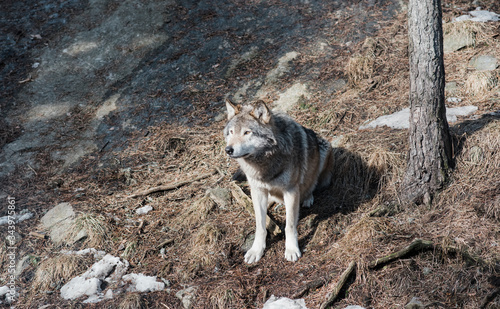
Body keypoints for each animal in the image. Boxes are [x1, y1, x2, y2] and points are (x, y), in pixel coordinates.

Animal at [223, 98, 332, 262]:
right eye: (231, 132)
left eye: (247, 132)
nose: (228, 150)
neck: (264, 164)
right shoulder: (258, 190)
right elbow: (260, 226)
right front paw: (256, 250)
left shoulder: (291, 191)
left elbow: (290, 225)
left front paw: (292, 249)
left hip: (325, 148)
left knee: (312, 185)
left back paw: (307, 197)